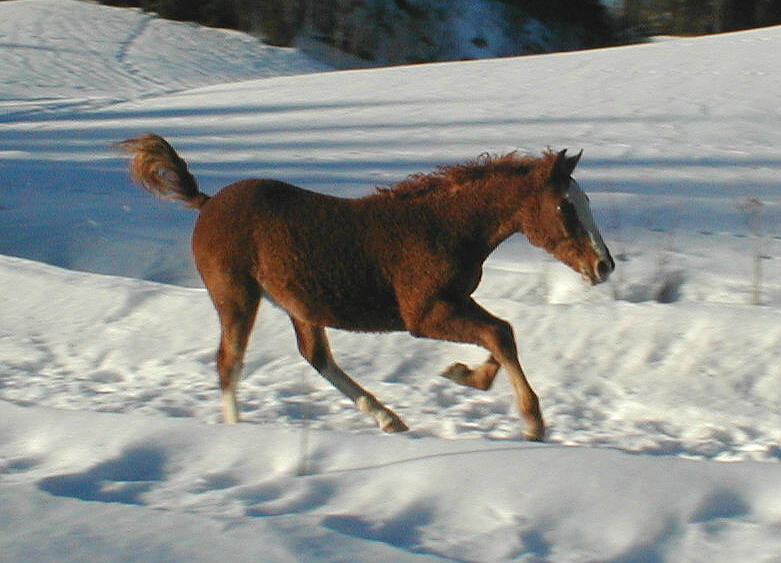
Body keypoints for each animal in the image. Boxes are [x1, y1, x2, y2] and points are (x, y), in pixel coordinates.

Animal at [119, 134, 612, 442]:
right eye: (566, 206)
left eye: (587, 200)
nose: (603, 265)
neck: (445, 228)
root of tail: (207, 202)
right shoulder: (422, 314)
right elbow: (499, 332)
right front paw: (532, 423)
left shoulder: (453, 301)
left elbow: (502, 332)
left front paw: (464, 374)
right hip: (236, 296)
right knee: (229, 362)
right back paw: (236, 430)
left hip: (299, 304)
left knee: (316, 356)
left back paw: (388, 418)